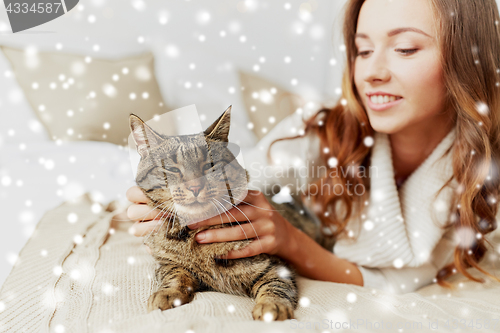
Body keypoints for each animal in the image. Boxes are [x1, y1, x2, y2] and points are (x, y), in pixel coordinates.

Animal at [130, 105, 328, 320]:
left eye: (210, 165)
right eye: (172, 169)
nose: (195, 187)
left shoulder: (276, 267)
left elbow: (275, 286)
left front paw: (272, 306)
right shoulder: (166, 263)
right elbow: (175, 274)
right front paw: (167, 293)